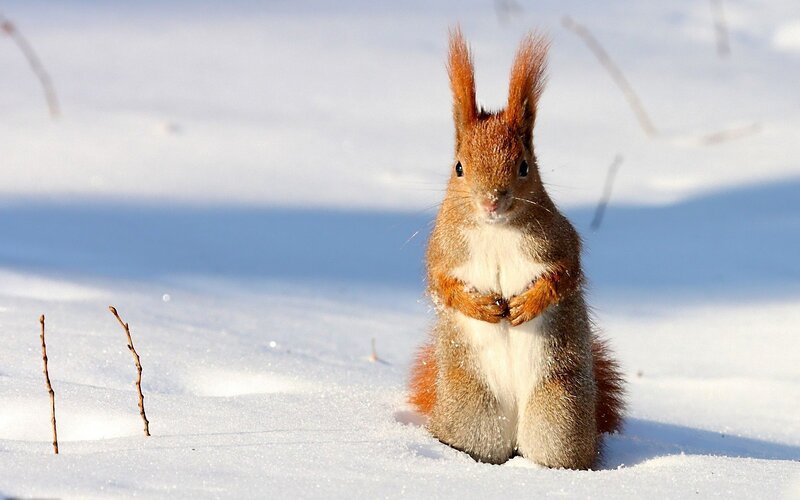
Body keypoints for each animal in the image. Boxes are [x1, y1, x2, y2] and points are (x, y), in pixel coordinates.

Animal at [408, 29, 625, 470]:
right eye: (459, 167)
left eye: (524, 166)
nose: (492, 200)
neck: (496, 231)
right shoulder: (442, 251)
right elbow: (442, 285)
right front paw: (483, 308)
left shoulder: (560, 242)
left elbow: (565, 274)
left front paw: (526, 305)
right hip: (473, 413)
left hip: (559, 412)